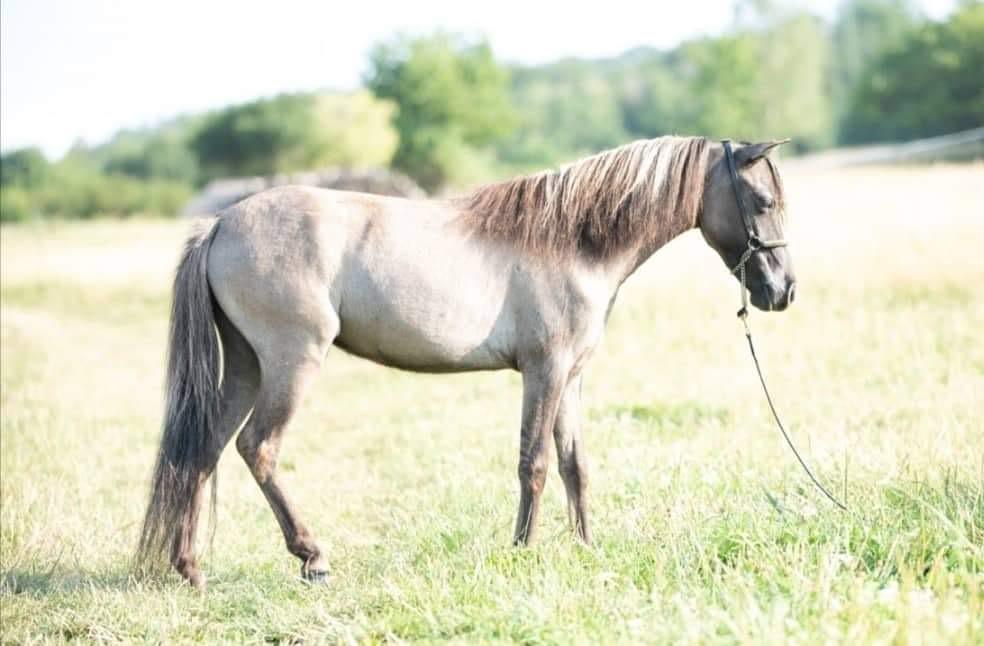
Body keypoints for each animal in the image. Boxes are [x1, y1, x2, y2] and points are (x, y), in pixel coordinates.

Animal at [137, 136, 795, 589]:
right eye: (763, 200)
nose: (783, 291)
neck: (573, 239)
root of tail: (220, 224)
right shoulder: (544, 372)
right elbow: (534, 463)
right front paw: (523, 551)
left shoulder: (571, 378)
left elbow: (574, 465)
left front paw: (586, 549)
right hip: (290, 363)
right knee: (259, 448)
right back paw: (312, 557)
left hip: (246, 367)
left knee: (202, 451)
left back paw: (189, 567)